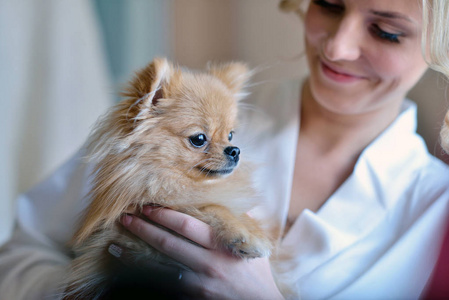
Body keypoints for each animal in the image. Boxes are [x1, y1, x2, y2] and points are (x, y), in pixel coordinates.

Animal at [63, 57, 272, 298]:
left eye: (230, 135)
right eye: (199, 139)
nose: (235, 150)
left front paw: (253, 230)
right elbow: (213, 207)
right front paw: (243, 235)